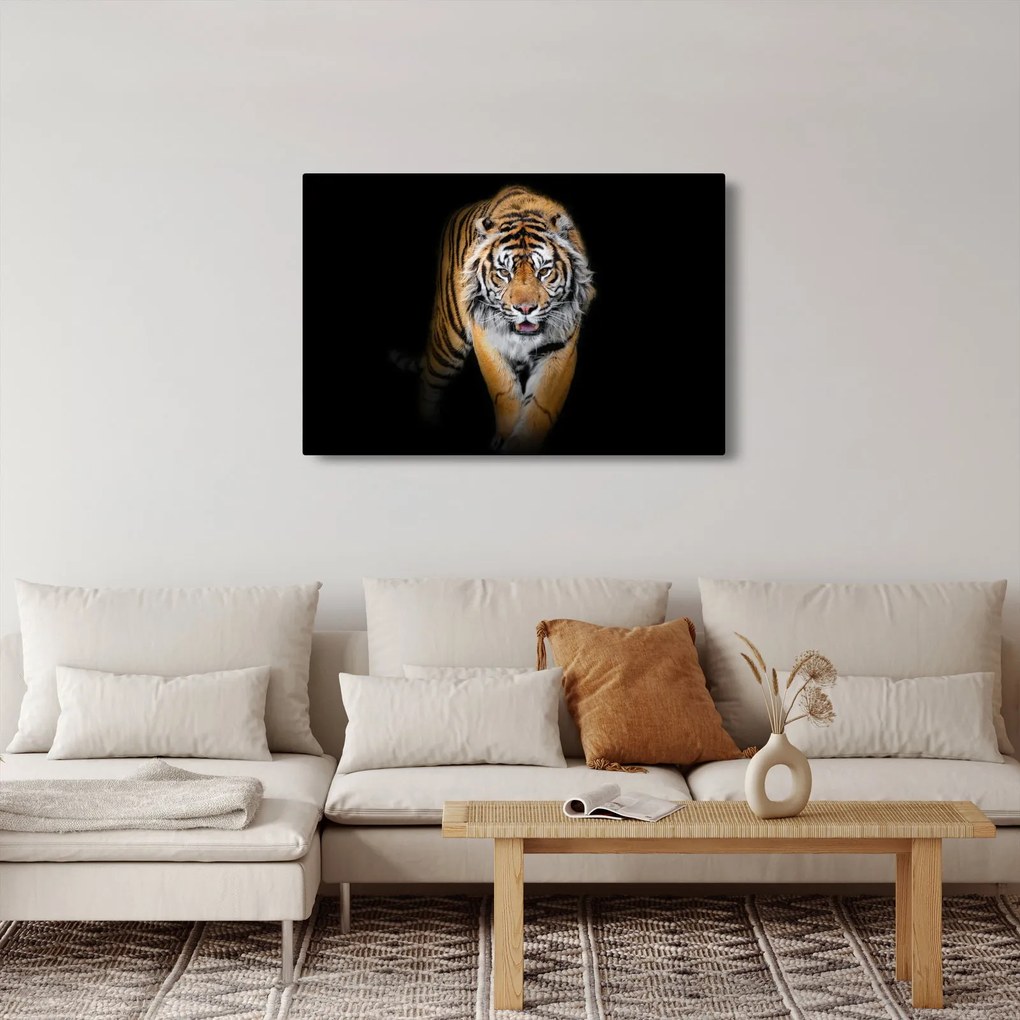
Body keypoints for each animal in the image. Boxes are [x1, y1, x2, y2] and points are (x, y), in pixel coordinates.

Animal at [399, 185, 595, 453]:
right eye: (504, 273)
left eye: (544, 271)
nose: (525, 308)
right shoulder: (487, 339)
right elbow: (504, 391)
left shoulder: (561, 348)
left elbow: (542, 405)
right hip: (448, 341)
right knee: (429, 381)